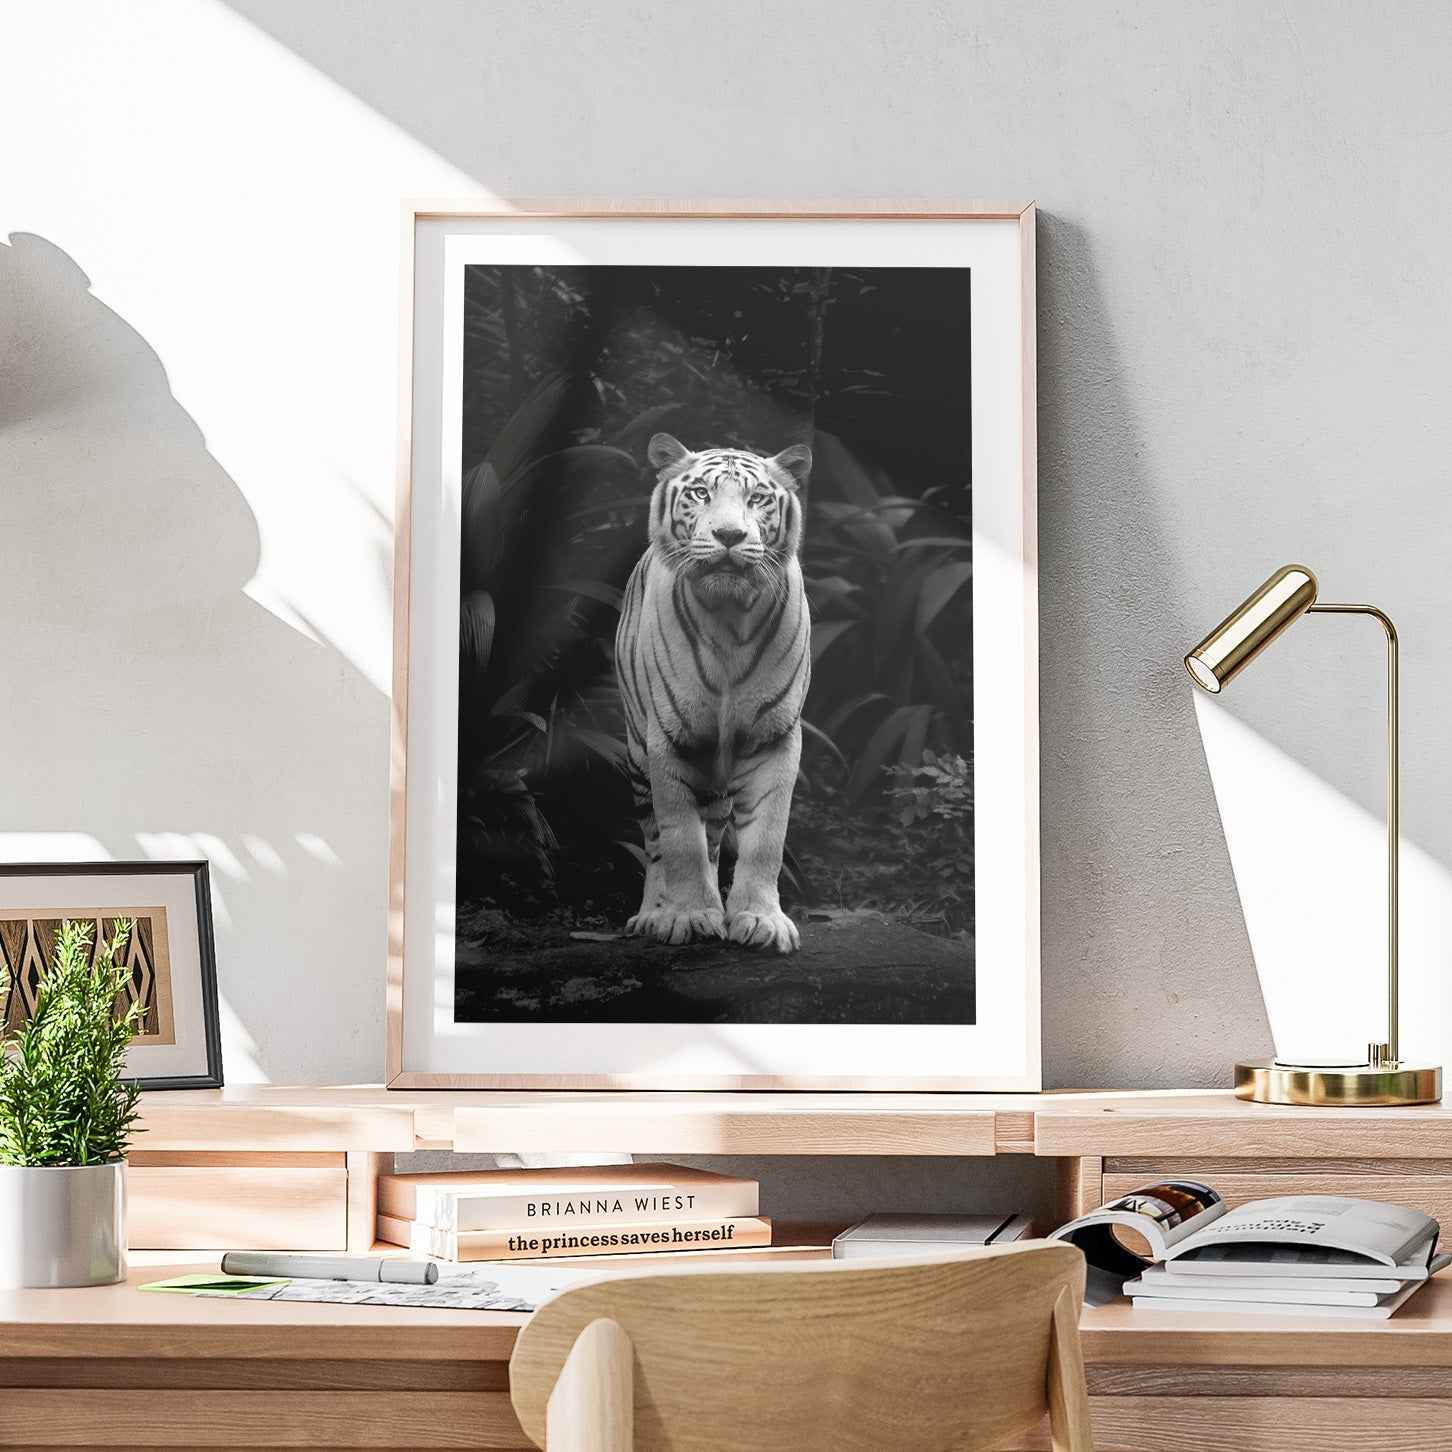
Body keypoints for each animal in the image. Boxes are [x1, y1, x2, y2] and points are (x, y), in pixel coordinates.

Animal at [614, 431, 812, 954]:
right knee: (656, 843)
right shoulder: (668, 739)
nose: (729, 536)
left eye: (757, 498)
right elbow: (680, 840)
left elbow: (766, 838)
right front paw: (686, 916)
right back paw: (653, 914)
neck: (729, 619)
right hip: (637, 752)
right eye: (701, 493)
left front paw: (760, 919)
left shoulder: (774, 738)